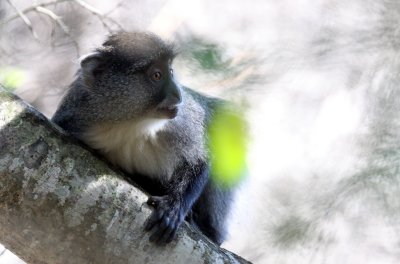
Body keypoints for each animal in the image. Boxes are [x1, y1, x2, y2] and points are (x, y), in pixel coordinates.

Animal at [51, 31, 236, 245]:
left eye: (170, 71)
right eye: (156, 75)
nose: (177, 93)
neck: (131, 122)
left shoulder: (183, 120)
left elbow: (200, 159)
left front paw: (174, 206)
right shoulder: (73, 118)